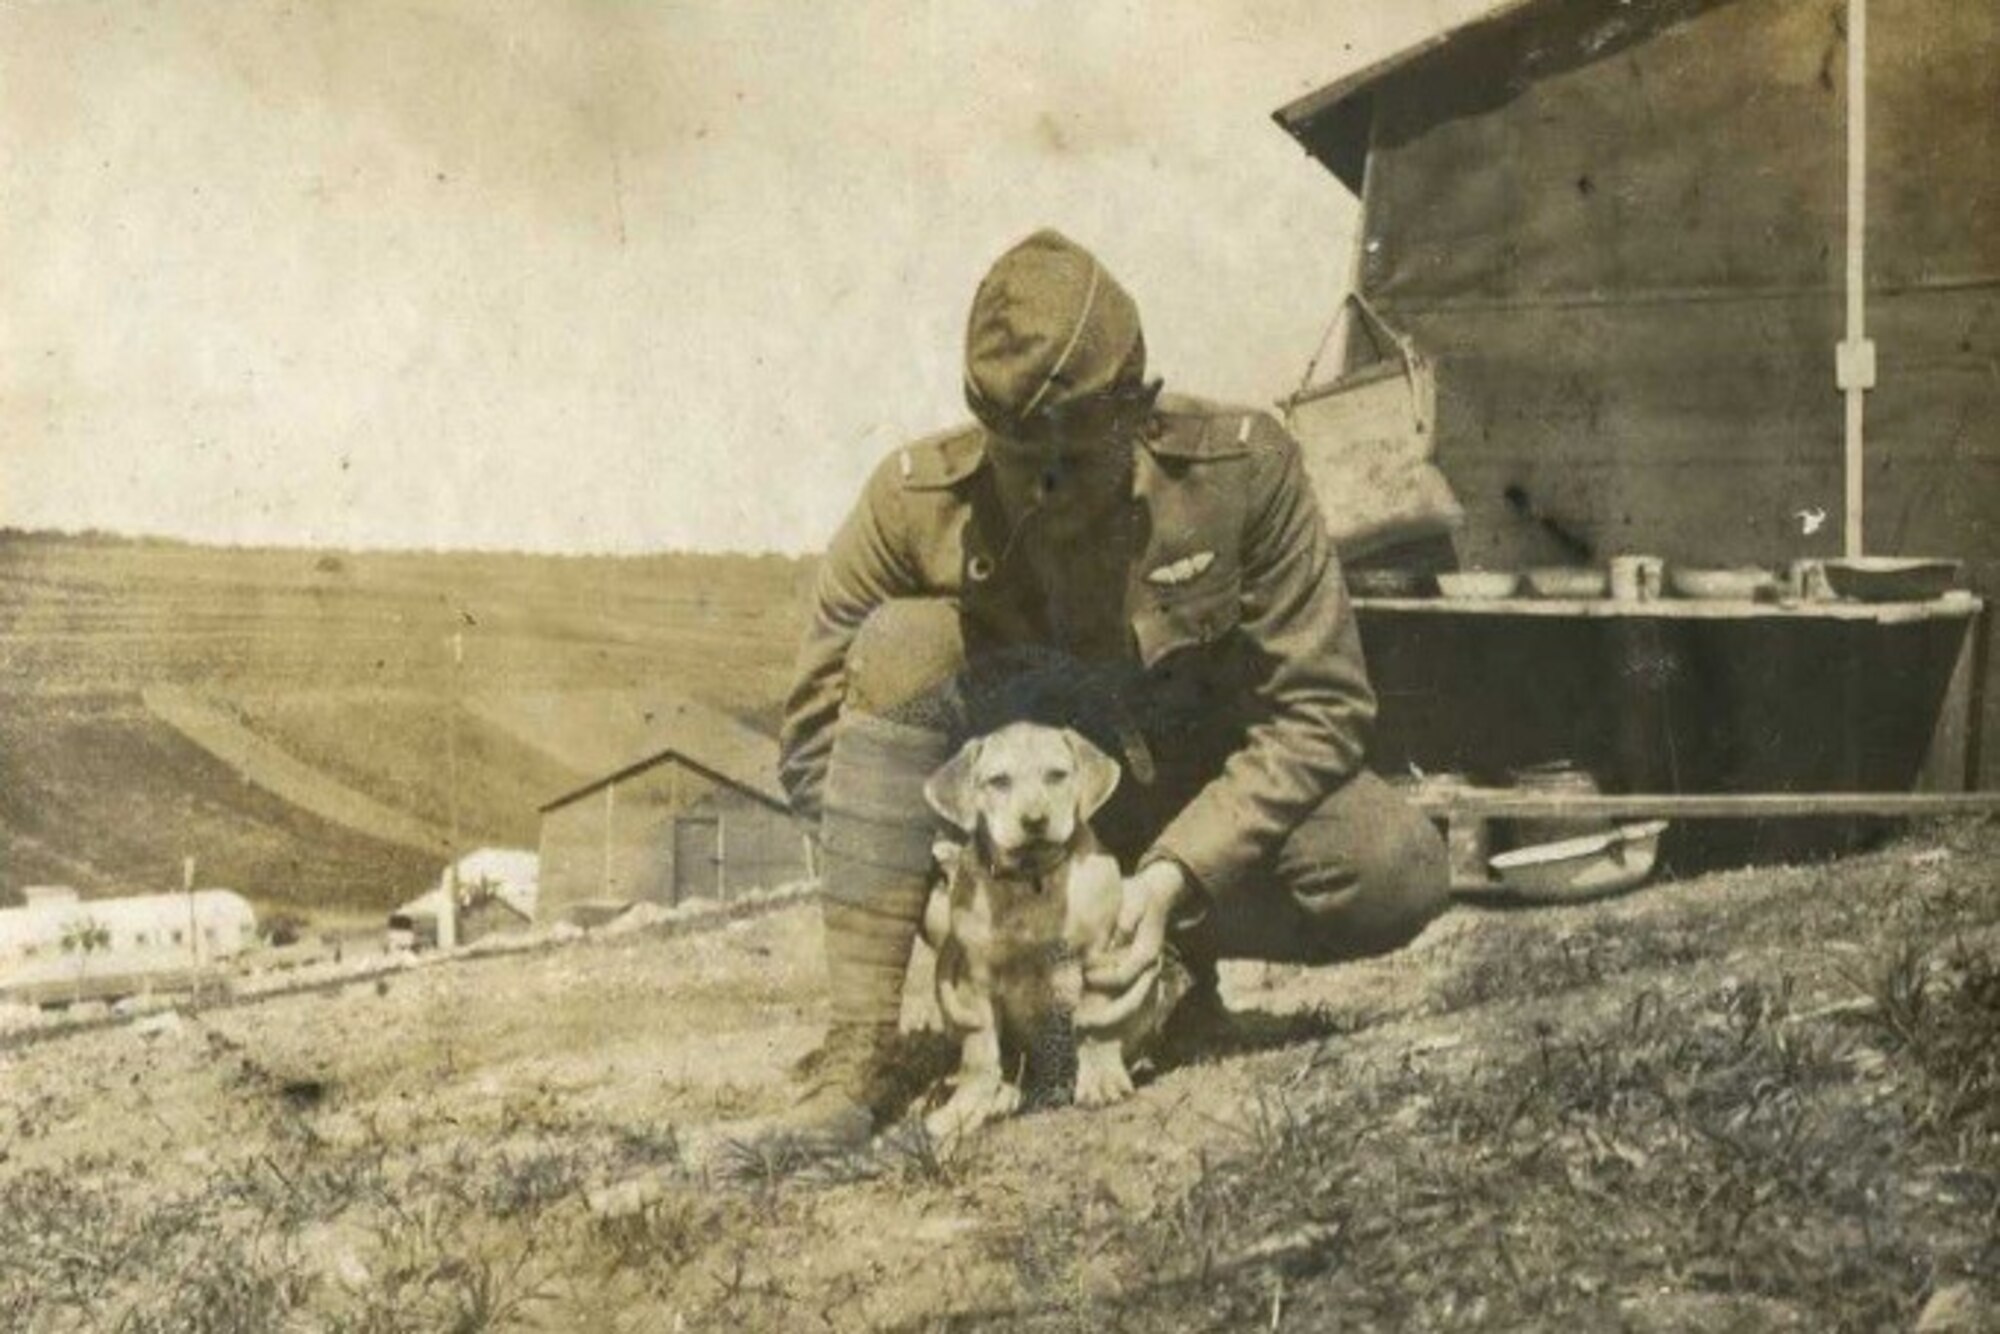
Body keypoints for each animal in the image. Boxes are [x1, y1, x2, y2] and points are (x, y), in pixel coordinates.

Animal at [916, 724, 1176, 1144]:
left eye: (1056, 775)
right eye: (999, 781)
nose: (1035, 820)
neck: (1031, 878)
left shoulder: (1101, 958)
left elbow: (1095, 1019)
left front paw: (1101, 1079)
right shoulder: (974, 980)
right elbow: (979, 1050)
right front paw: (964, 1107)